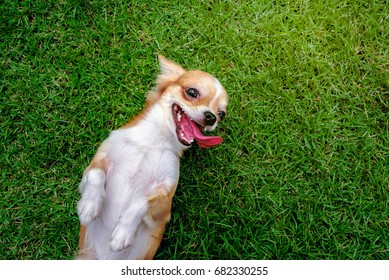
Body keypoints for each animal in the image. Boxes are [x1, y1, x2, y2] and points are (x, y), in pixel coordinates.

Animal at [76, 55, 227, 260]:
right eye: (192, 92)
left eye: (221, 114)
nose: (211, 117)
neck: (153, 141)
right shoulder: (95, 165)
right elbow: (96, 174)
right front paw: (89, 206)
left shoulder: (165, 202)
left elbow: (142, 201)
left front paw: (123, 233)